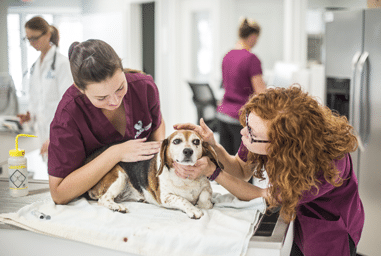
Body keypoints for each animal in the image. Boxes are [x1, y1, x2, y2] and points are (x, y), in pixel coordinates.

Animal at [85, 131, 218, 219]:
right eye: (176, 141)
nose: (188, 151)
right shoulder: (165, 197)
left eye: (196, 141)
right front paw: (193, 209)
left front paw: (204, 204)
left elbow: (204, 198)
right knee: (103, 199)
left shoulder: (207, 187)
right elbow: (182, 199)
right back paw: (117, 207)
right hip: (119, 175)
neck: (186, 179)